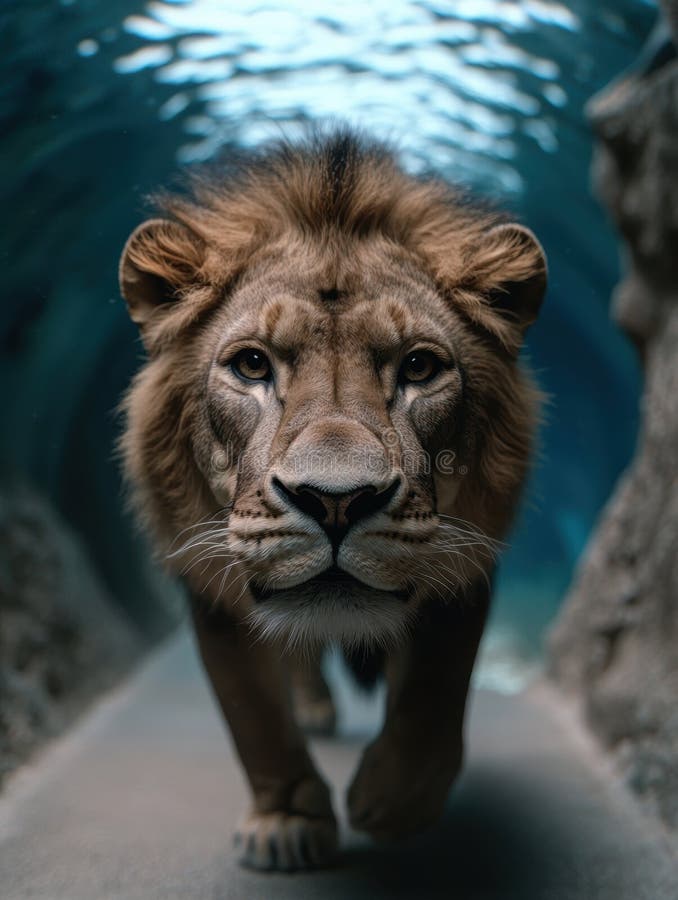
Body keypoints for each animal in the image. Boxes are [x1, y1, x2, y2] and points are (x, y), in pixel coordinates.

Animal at [118, 130, 546, 872]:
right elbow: (252, 713)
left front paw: (395, 799)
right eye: (253, 364)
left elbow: (437, 685)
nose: (337, 502)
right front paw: (288, 819)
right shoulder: (210, 583)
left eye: (419, 367)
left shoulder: (462, 557)